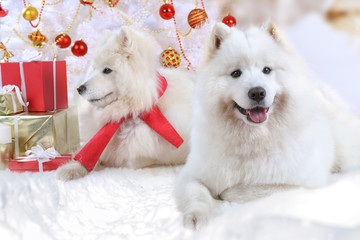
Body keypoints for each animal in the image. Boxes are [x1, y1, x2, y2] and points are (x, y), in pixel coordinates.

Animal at [56, 26, 195, 180]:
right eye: (94, 68)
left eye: (107, 70)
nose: (79, 89)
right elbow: (87, 155)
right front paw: (69, 169)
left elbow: (135, 157)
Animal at [176, 22, 360, 229]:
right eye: (236, 73)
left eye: (266, 70)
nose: (257, 92)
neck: (253, 138)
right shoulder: (192, 174)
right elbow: (196, 193)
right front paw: (196, 217)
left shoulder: (306, 183)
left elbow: (254, 189)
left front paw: (226, 192)